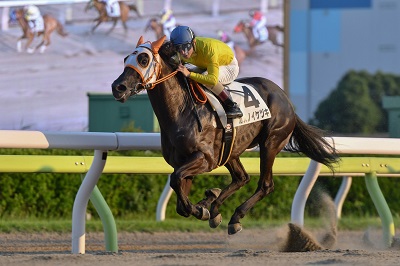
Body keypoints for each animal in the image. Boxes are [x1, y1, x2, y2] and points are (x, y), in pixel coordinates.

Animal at [111, 35, 340, 235]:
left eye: (143, 59)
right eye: (125, 59)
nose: (117, 87)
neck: (182, 110)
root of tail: (285, 98)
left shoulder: (205, 158)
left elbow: (176, 182)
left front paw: (200, 209)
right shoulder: (183, 162)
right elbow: (179, 201)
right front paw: (204, 205)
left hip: (271, 142)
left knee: (265, 185)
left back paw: (234, 216)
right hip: (232, 149)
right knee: (241, 177)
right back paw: (214, 206)